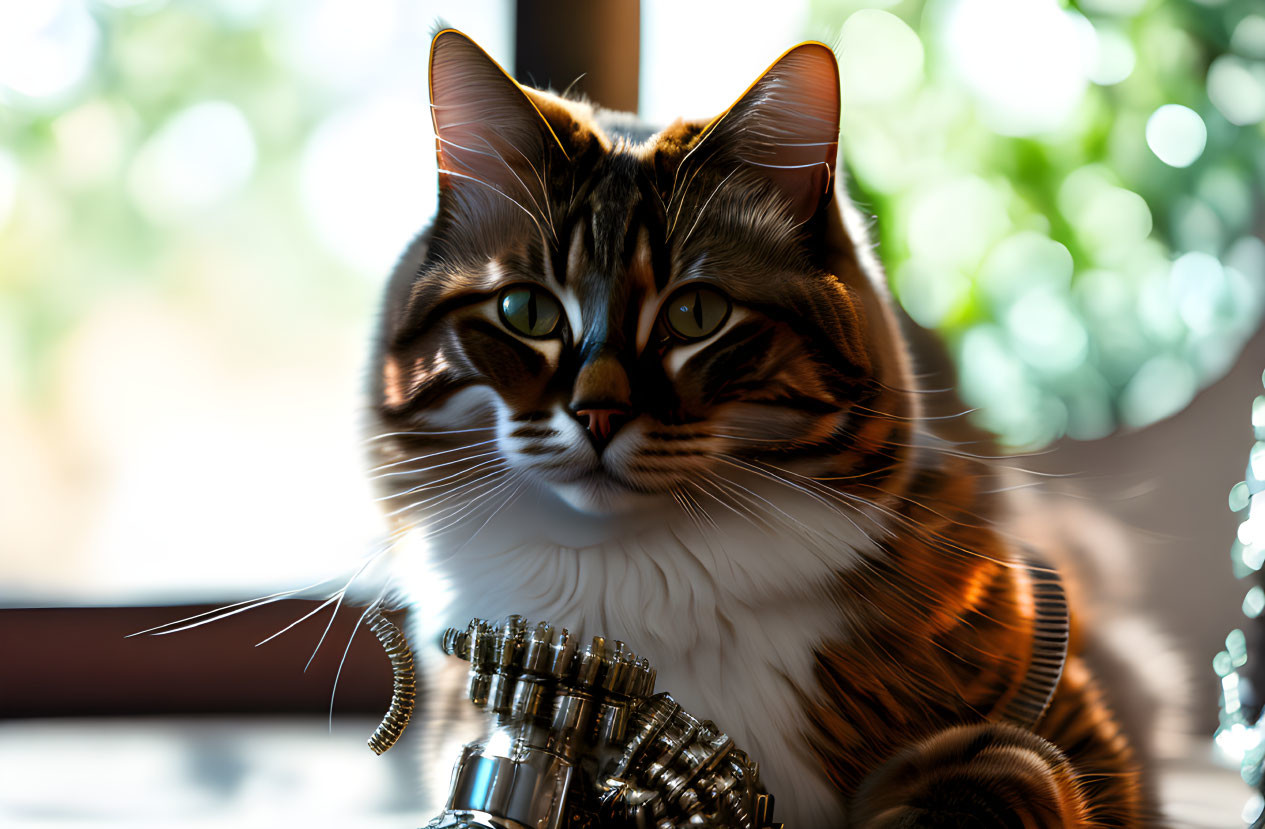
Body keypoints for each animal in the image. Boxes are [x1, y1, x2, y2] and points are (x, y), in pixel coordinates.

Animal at [364, 29, 1158, 825]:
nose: (598, 411)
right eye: (525, 312)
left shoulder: (1077, 729)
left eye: (697, 315)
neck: (642, 579)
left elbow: (1004, 774)